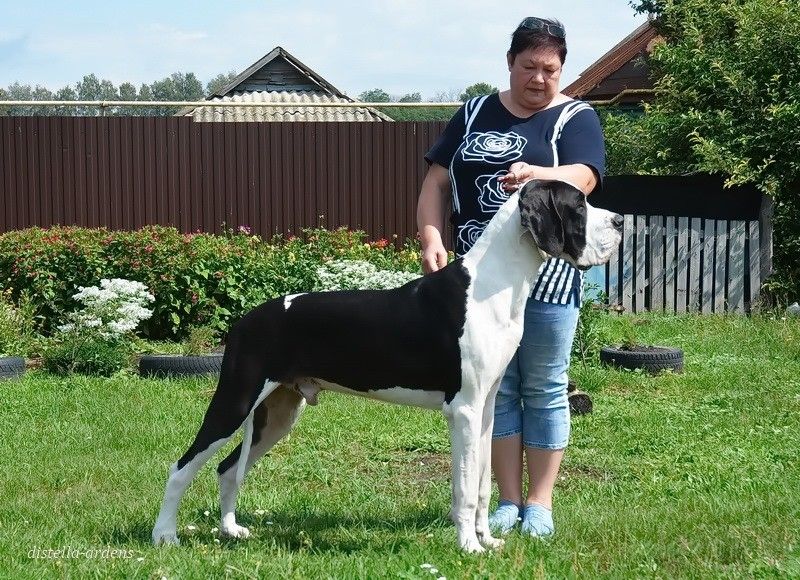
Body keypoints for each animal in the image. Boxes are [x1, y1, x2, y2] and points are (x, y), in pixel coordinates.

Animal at [151, 179, 623, 552]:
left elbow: (483, 483)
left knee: (229, 468)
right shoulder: (464, 411)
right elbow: (465, 488)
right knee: (181, 467)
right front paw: (469, 548)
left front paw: (487, 539)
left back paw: (231, 530)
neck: (493, 285)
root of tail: (245, 319)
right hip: (235, 400)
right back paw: (164, 536)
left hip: (277, 413)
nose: (620, 221)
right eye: (578, 205)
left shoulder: (486, 409)